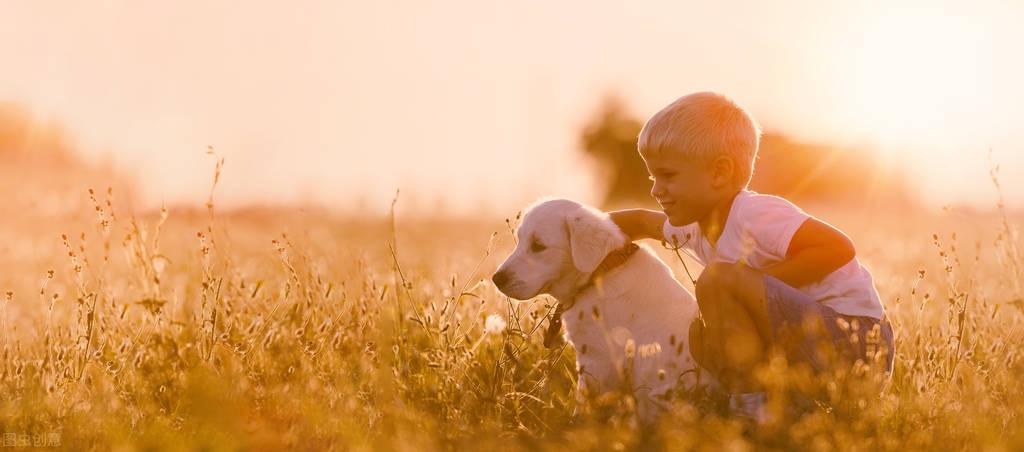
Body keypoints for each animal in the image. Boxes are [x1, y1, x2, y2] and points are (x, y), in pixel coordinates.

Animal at [491, 196, 708, 422]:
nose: (497, 279)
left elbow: (585, 403)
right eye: (520, 240)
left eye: (538, 246)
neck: (599, 273)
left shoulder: (597, 360)